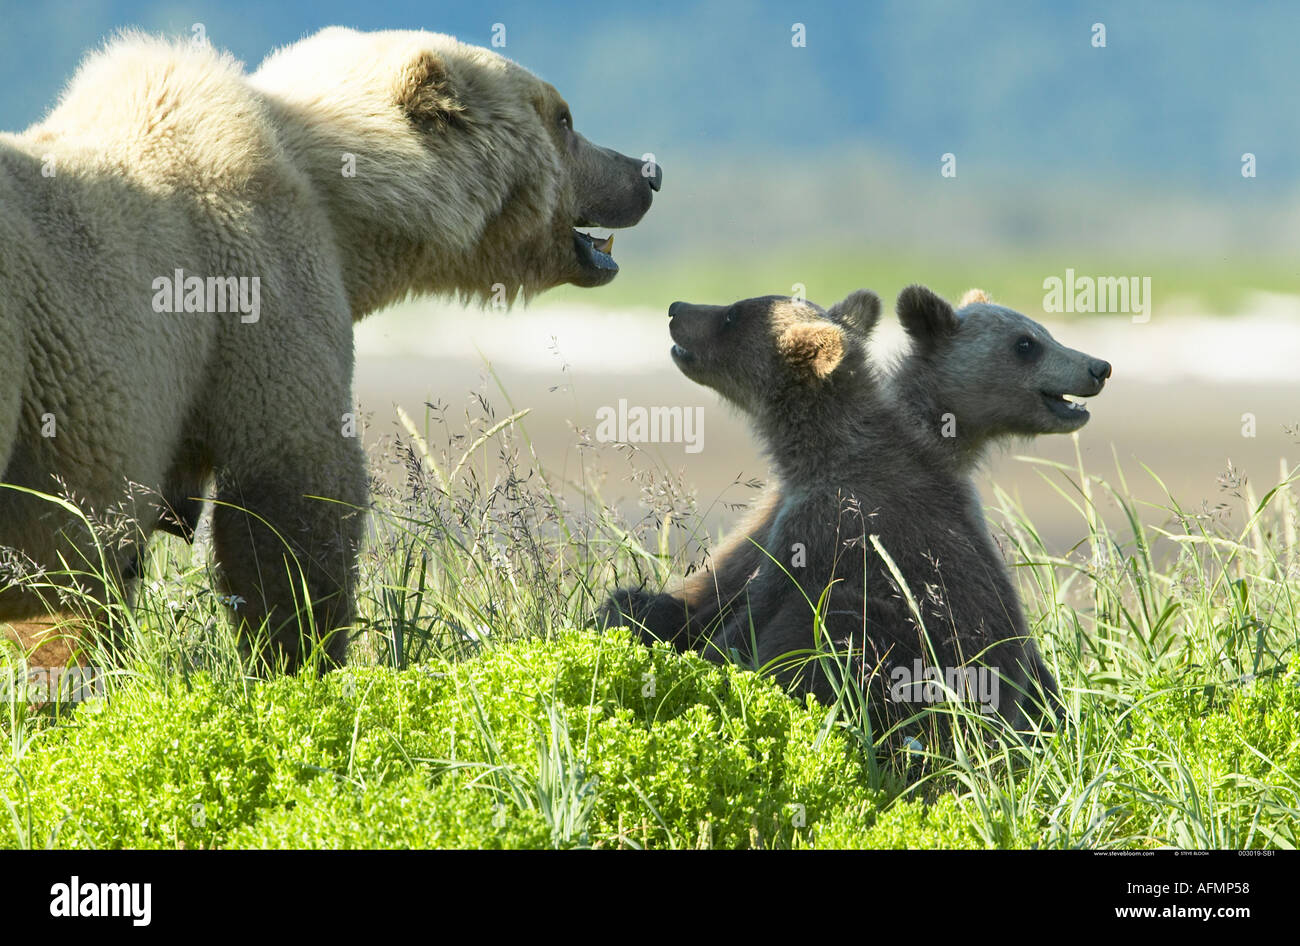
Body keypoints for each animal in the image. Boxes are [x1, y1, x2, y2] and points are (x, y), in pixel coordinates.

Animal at [601, 286, 1110, 735]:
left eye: (731, 315)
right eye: (1028, 342)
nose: (676, 308)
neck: (823, 449)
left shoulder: (820, 523)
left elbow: (752, 608)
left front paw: (699, 658)